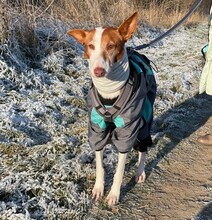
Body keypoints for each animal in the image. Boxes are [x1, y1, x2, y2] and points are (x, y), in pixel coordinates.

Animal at [67, 12, 157, 205]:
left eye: (111, 46)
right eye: (90, 46)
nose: (98, 71)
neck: (109, 92)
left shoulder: (127, 130)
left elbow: (119, 170)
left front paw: (114, 194)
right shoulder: (97, 128)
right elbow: (100, 166)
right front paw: (98, 189)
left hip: (144, 121)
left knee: (143, 148)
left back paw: (140, 172)